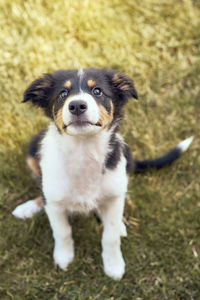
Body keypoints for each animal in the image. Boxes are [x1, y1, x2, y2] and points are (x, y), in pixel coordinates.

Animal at [12, 69, 194, 280]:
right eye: (63, 94)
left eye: (97, 91)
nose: (77, 106)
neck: (84, 149)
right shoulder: (55, 202)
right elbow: (62, 230)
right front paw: (64, 257)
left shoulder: (114, 196)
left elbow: (110, 236)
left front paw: (113, 265)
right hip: (33, 152)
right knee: (42, 194)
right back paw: (27, 208)